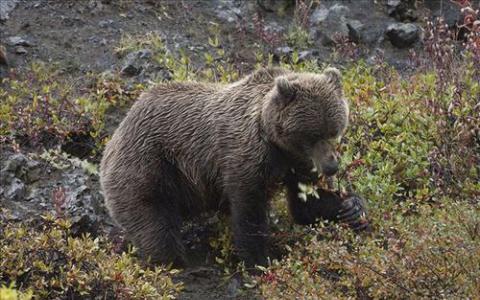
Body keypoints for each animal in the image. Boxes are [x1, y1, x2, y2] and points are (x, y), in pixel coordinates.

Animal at [100, 67, 364, 268]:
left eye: (334, 131)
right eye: (312, 136)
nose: (331, 166)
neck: (276, 143)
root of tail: (116, 135)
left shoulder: (297, 163)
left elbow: (304, 203)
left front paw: (351, 207)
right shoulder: (245, 155)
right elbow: (248, 209)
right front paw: (260, 259)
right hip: (149, 165)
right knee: (153, 224)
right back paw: (173, 264)